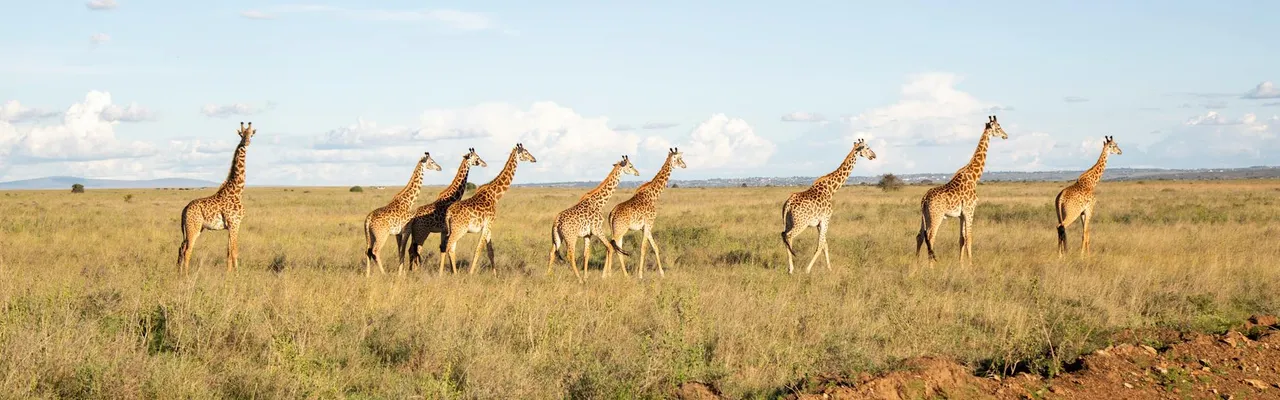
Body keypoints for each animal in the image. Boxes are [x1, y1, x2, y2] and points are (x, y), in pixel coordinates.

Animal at [176, 122, 256, 275]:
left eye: (251, 134)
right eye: (242, 134)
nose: (246, 142)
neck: (237, 191)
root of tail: (184, 209)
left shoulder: (230, 226)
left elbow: (228, 251)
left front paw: (228, 274)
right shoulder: (235, 223)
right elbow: (235, 251)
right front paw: (237, 275)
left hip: (194, 228)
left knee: (181, 247)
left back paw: (178, 272)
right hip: (193, 227)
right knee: (187, 250)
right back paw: (186, 276)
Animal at [438, 143, 537, 275]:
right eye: (525, 153)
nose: (534, 159)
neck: (495, 195)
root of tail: (448, 213)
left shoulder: (489, 226)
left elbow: (491, 251)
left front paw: (495, 275)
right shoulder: (488, 224)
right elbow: (479, 249)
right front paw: (470, 274)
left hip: (453, 229)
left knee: (450, 247)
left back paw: (454, 273)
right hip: (459, 229)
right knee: (447, 246)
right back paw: (442, 274)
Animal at [605, 148, 686, 279]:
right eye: (679, 159)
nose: (685, 165)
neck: (653, 196)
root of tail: (612, 213)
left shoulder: (645, 227)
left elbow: (655, 247)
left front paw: (662, 273)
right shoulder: (649, 223)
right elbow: (643, 248)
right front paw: (640, 275)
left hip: (616, 230)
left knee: (615, 246)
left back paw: (618, 274)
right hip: (620, 229)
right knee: (611, 245)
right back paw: (608, 274)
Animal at [780, 139, 877, 274]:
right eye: (867, 148)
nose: (874, 156)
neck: (831, 190)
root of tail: (788, 203)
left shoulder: (819, 223)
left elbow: (825, 244)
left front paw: (829, 268)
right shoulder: (826, 219)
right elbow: (820, 245)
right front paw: (808, 269)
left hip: (789, 222)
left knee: (785, 236)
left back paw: (790, 267)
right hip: (801, 223)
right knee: (788, 236)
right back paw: (792, 268)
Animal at [915, 115, 1008, 265]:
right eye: (999, 127)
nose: (1006, 135)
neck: (974, 177)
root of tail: (924, 199)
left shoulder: (961, 215)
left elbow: (961, 239)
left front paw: (961, 265)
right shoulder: (970, 210)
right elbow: (969, 238)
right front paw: (971, 265)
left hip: (924, 216)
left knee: (920, 236)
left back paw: (916, 264)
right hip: (936, 215)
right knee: (930, 236)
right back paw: (931, 266)